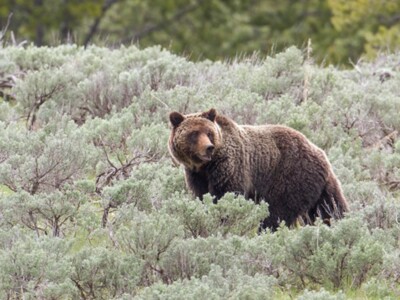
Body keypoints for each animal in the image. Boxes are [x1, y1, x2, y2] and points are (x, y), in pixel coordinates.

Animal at [167, 109, 348, 231]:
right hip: (319, 186)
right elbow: (202, 196)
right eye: (194, 133)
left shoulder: (230, 167)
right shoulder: (196, 175)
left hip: (290, 176)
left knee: (277, 212)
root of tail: (320, 152)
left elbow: (226, 195)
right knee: (330, 207)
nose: (208, 148)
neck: (205, 166)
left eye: (209, 132)